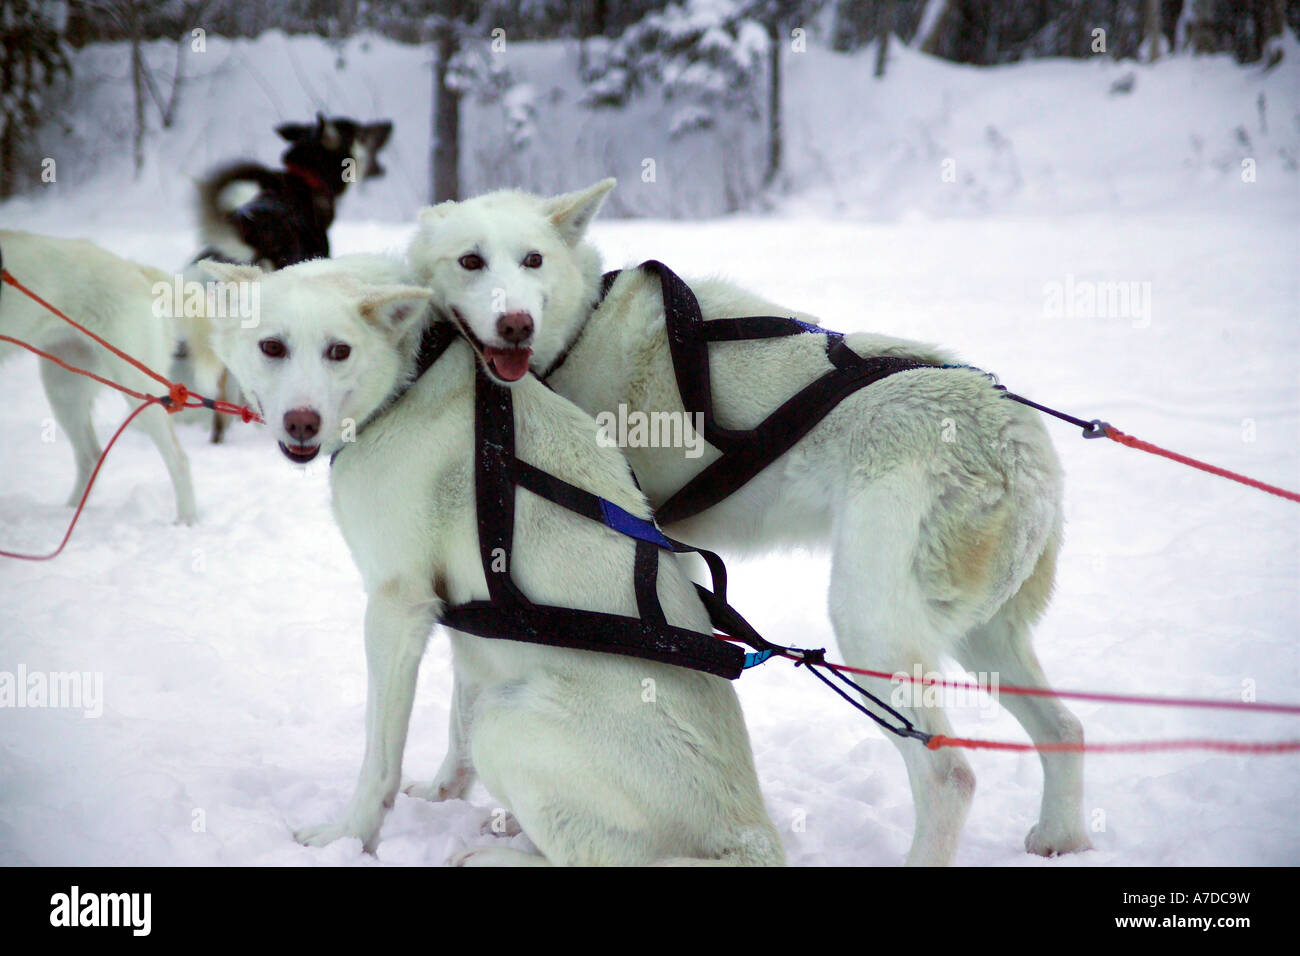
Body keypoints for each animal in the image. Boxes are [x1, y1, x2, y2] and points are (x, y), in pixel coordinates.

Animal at [0, 232, 197, 528]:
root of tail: (136, 270)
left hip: (137, 386)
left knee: (179, 459)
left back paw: (186, 521)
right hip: (63, 389)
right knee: (91, 456)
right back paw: (69, 514)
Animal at [202, 252, 780, 868]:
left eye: (340, 350)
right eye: (272, 347)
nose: (301, 422)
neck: (409, 377)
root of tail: (752, 836)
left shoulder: (396, 607)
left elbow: (378, 761)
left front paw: (348, 837)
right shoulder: (469, 630)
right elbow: (454, 731)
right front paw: (440, 795)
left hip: (506, 722)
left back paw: (486, 856)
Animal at [408, 179, 1086, 868]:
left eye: (533, 260)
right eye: (470, 261)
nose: (515, 322)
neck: (580, 327)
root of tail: (1016, 449)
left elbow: (467, 702)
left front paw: (444, 792)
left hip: (870, 629)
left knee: (950, 775)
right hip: (982, 639)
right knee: (1066, 727)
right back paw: (1062, 836)